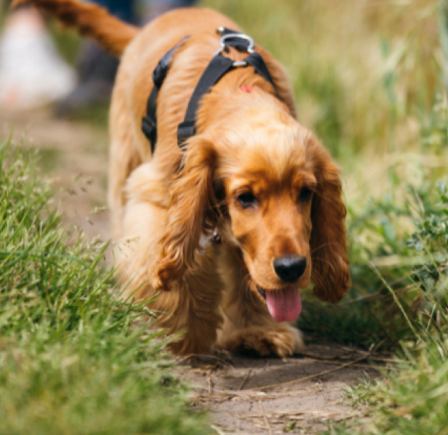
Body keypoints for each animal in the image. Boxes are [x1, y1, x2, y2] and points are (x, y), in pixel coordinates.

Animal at [13, 0, 350, 358]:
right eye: (245, 197)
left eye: (306, 193)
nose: (291, 268)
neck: (237, 91)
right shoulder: (164, 195)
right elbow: (171, 260)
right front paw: (183, 331)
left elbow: (249, 273)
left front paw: (260, 331)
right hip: (125, 155)